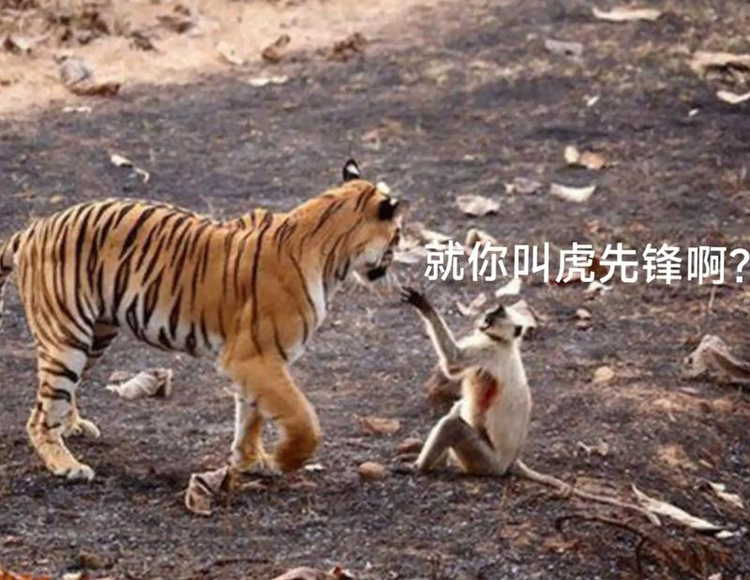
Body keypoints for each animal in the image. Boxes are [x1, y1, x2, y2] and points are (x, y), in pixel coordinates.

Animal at [0, 159, 405, 482]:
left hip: (94, 337)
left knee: (53, 400)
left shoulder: (255, 364)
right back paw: (66, 465)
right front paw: (284, 460)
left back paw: (73, 427)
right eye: (398, 235)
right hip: (67, 339)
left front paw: (249, 461)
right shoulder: (255, 358)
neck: (331, 255)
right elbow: (304, 420)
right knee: (40, 415)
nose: (392, 265)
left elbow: (250, 418)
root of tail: (33, 228)